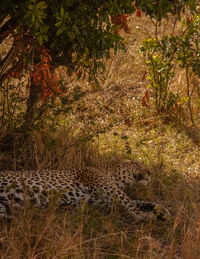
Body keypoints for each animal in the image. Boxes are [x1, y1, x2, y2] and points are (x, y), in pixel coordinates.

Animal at [0, 160, 170, 221]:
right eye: (136, 164)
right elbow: (129, 202)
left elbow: (137, 201)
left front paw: (161, 210)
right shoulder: (108, 188)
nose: (149, 172)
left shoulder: (102, 200)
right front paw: (145, 215)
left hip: (1, 205)